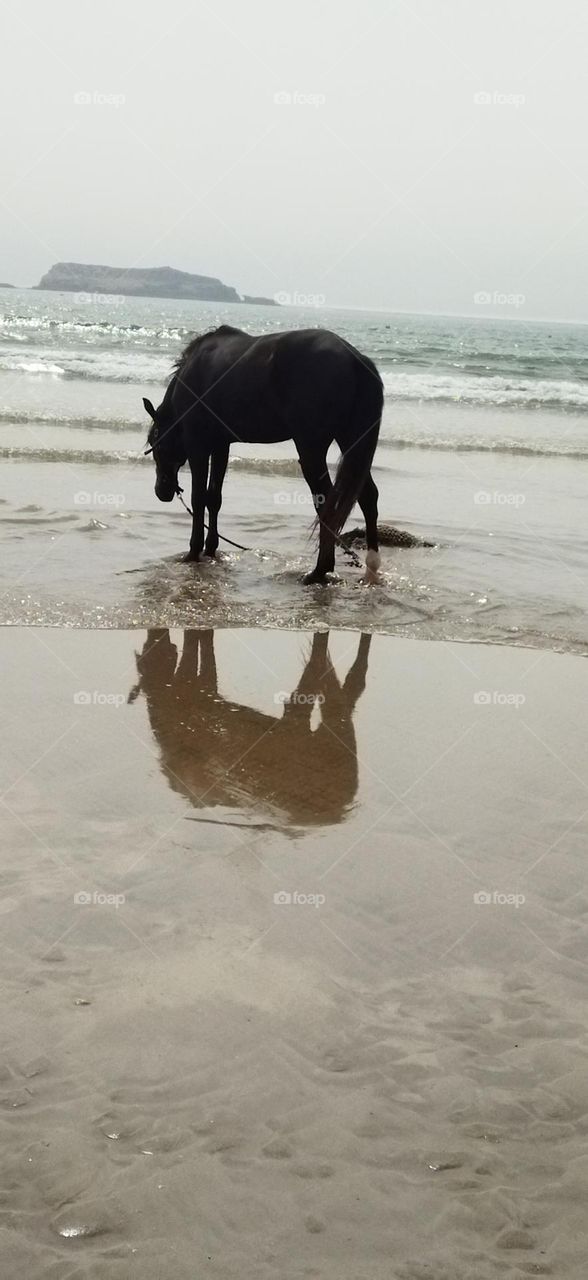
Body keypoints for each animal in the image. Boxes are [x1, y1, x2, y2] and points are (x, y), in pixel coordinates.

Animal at [142, 322, 381, 583]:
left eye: (157, 445)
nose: (162, 491)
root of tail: (355, 358)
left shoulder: (198, 447)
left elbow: (198, 499)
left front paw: (193, 552)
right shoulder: (220, 445)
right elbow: (214, 498)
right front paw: (211, 549)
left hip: (312, 448)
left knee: (326, 504)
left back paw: (320, 570)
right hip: (351, 442)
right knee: (368, 497)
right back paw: (370, 569)